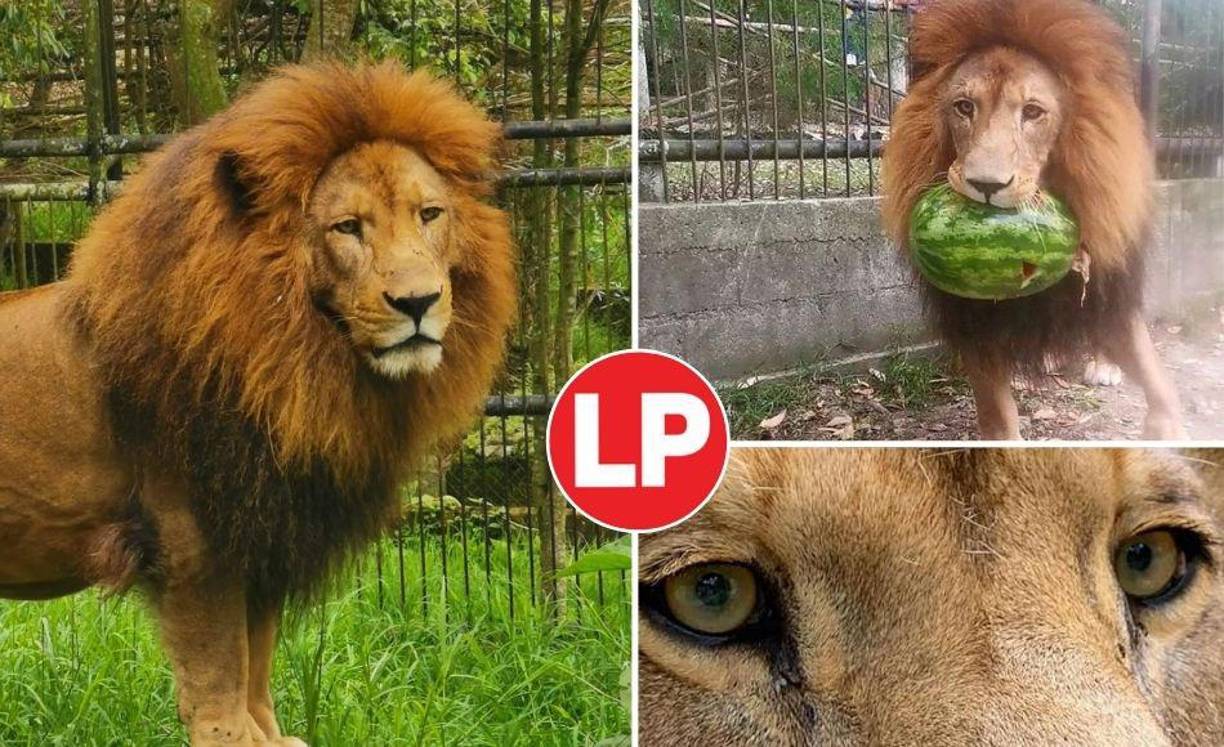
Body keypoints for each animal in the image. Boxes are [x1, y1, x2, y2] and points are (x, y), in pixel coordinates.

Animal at [0, 62, 516, 745]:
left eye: (430, 214)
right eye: (347, 227)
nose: (418, 302)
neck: (294, 362)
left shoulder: (265, 530)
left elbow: (256, 662)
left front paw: (273, 736)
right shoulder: (193, 541)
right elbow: (219, 676)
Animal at [881, 0, 1183, 440]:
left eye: (1033, 112)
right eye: (964, 107)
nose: (986, 185)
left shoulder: (1107, 278)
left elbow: (1146, 361)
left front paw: (1167, 425)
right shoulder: (972, 317)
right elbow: (997, 412)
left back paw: (1102, 365)